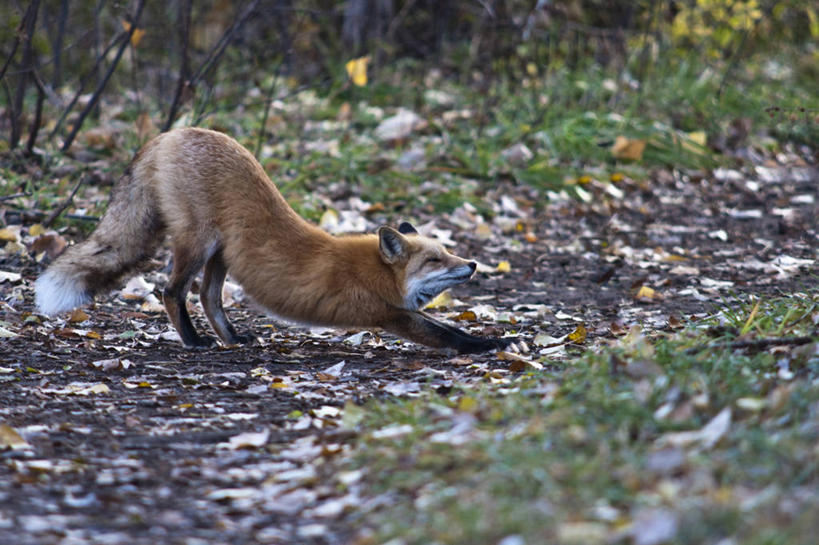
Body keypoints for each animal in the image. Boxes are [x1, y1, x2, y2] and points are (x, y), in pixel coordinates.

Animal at [38, 126, 512, 352]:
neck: (375, 273)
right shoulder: (385, 313)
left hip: (223, 252)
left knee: (208, 296)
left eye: (447, 251)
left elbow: (449, 325)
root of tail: (171, 133)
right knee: (172, 292)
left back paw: (232, 339)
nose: (472, 265)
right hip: (199, 243)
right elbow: (448, 335)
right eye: (434, 260)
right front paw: (490, 345)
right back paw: (193, 341)